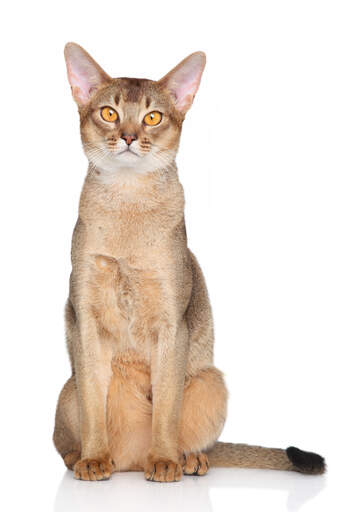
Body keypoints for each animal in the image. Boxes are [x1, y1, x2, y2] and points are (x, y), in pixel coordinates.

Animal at [52, 43, 324, 480]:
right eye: (109, 112)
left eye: (153, 116)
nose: (129, 137)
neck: (129, 203)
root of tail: (130, 461)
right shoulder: (86, 320)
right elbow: (94, 401)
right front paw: (94, 458)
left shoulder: (170, 322)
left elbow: (166, 405)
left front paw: (164, 460)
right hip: (66, 391)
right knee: (67, 439)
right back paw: (86, 459)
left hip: (212, 381)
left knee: (196, 437)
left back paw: (187, 459)